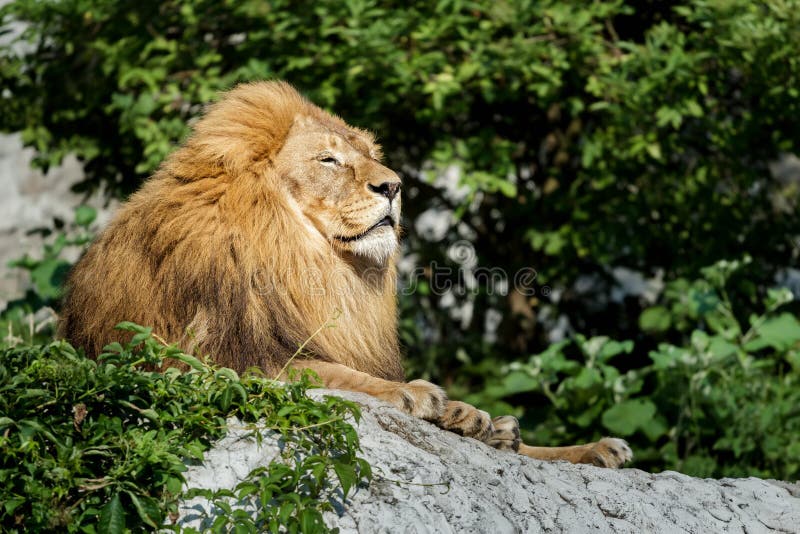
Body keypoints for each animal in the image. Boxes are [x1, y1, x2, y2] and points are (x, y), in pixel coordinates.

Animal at [57, 80, 632, 468]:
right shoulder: (226, 360)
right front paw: (420, 395)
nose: (395, 186)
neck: (307, 259)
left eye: (366, 156)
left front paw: (575, 444)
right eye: (329, 160)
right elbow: (332, 373)